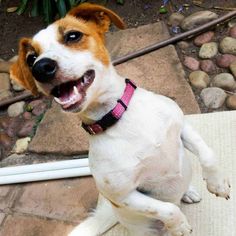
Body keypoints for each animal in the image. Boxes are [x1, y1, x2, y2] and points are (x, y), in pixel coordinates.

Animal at [10, 2, 230, 235]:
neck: (119, 117)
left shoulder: (182, 125)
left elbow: (208, 154)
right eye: (30, 59)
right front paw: (179, 225)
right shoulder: (124, 196)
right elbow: (167, 209)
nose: (40, 68)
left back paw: (188, 191)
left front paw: (218, 184)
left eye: (73, 36)